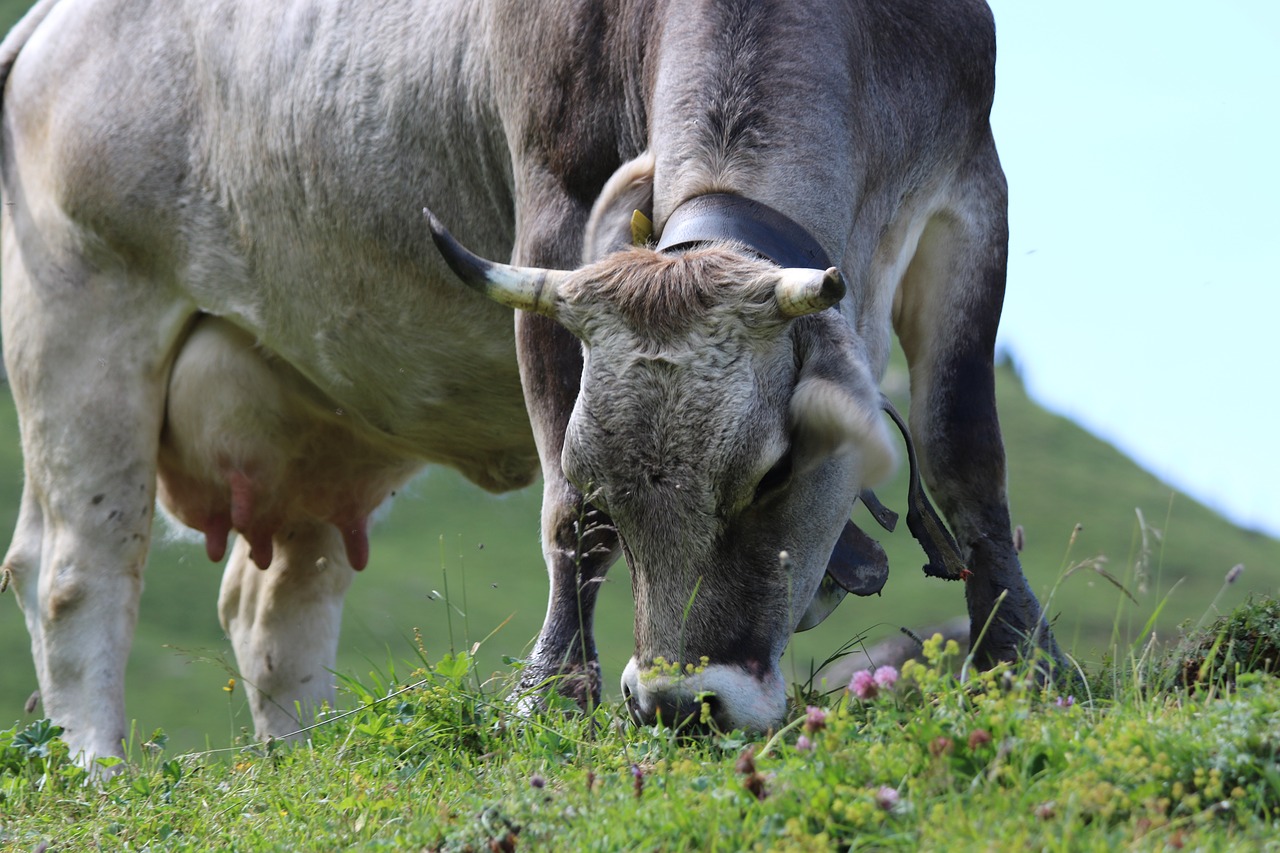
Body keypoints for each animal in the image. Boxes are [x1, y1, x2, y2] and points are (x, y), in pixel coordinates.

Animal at [0, 0, 1059, 758]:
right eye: (605, 480)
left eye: (774, 471)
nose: (681, 703)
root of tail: (44, 28)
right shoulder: (550, 216)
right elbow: (562, 515)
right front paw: (553, 691)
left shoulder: (974, 190)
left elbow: (966, 452)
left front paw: (1026, 665)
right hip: (80, 316)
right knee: (72, 572)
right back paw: (101, 772)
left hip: (310, 417)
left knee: (271, 607)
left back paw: (303, 758)